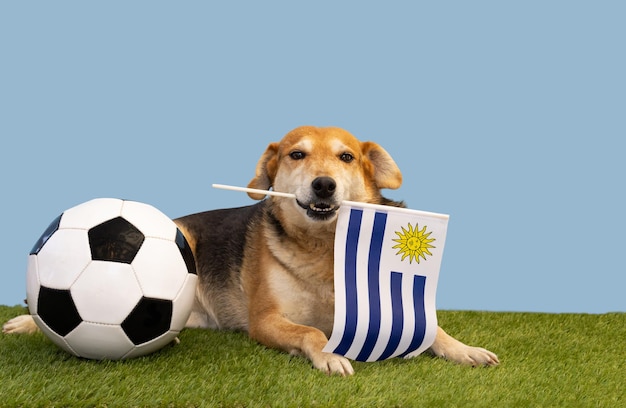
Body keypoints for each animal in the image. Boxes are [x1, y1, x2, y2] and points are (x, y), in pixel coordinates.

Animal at [2, 125, 494, 376]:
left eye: (346, 158)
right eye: (296, 155)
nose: (324, 185)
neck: (321, 248)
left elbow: (434, 332)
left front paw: (464, 348)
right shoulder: (267, 320)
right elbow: (311, 333)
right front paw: (329, 354)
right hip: (184, 241)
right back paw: (27, 322)